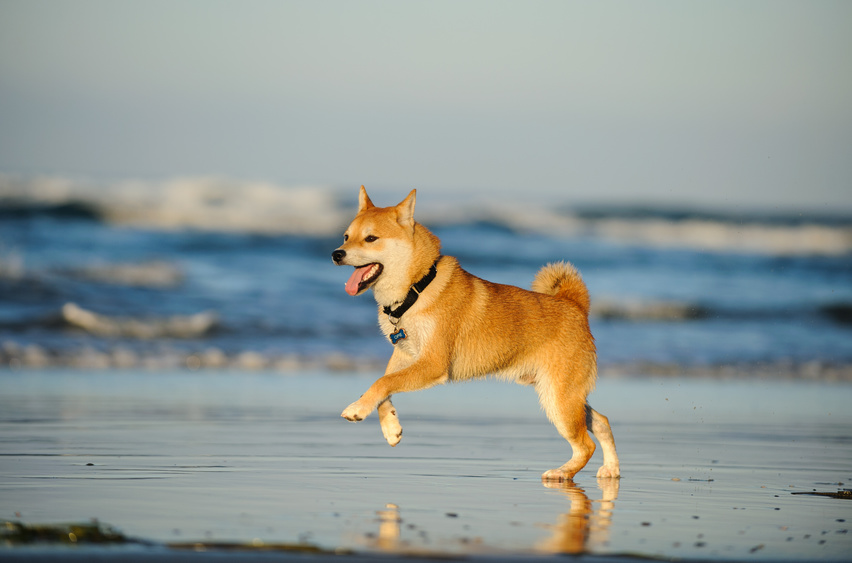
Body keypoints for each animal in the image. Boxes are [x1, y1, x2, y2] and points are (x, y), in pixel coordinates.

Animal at [328, 187, 620, 482]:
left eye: (371, 238)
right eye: (346, 236)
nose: (336, 254)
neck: (418, 288)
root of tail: (575, 305)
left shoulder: (433, 363)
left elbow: (382, 383)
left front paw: (357, 408)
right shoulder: (406, 353)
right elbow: (384, 386)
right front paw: (391, 427)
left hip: (558, 400)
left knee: (585, 444)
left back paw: (562, 472)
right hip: (563, 394)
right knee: (602, 422)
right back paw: (611, 469)